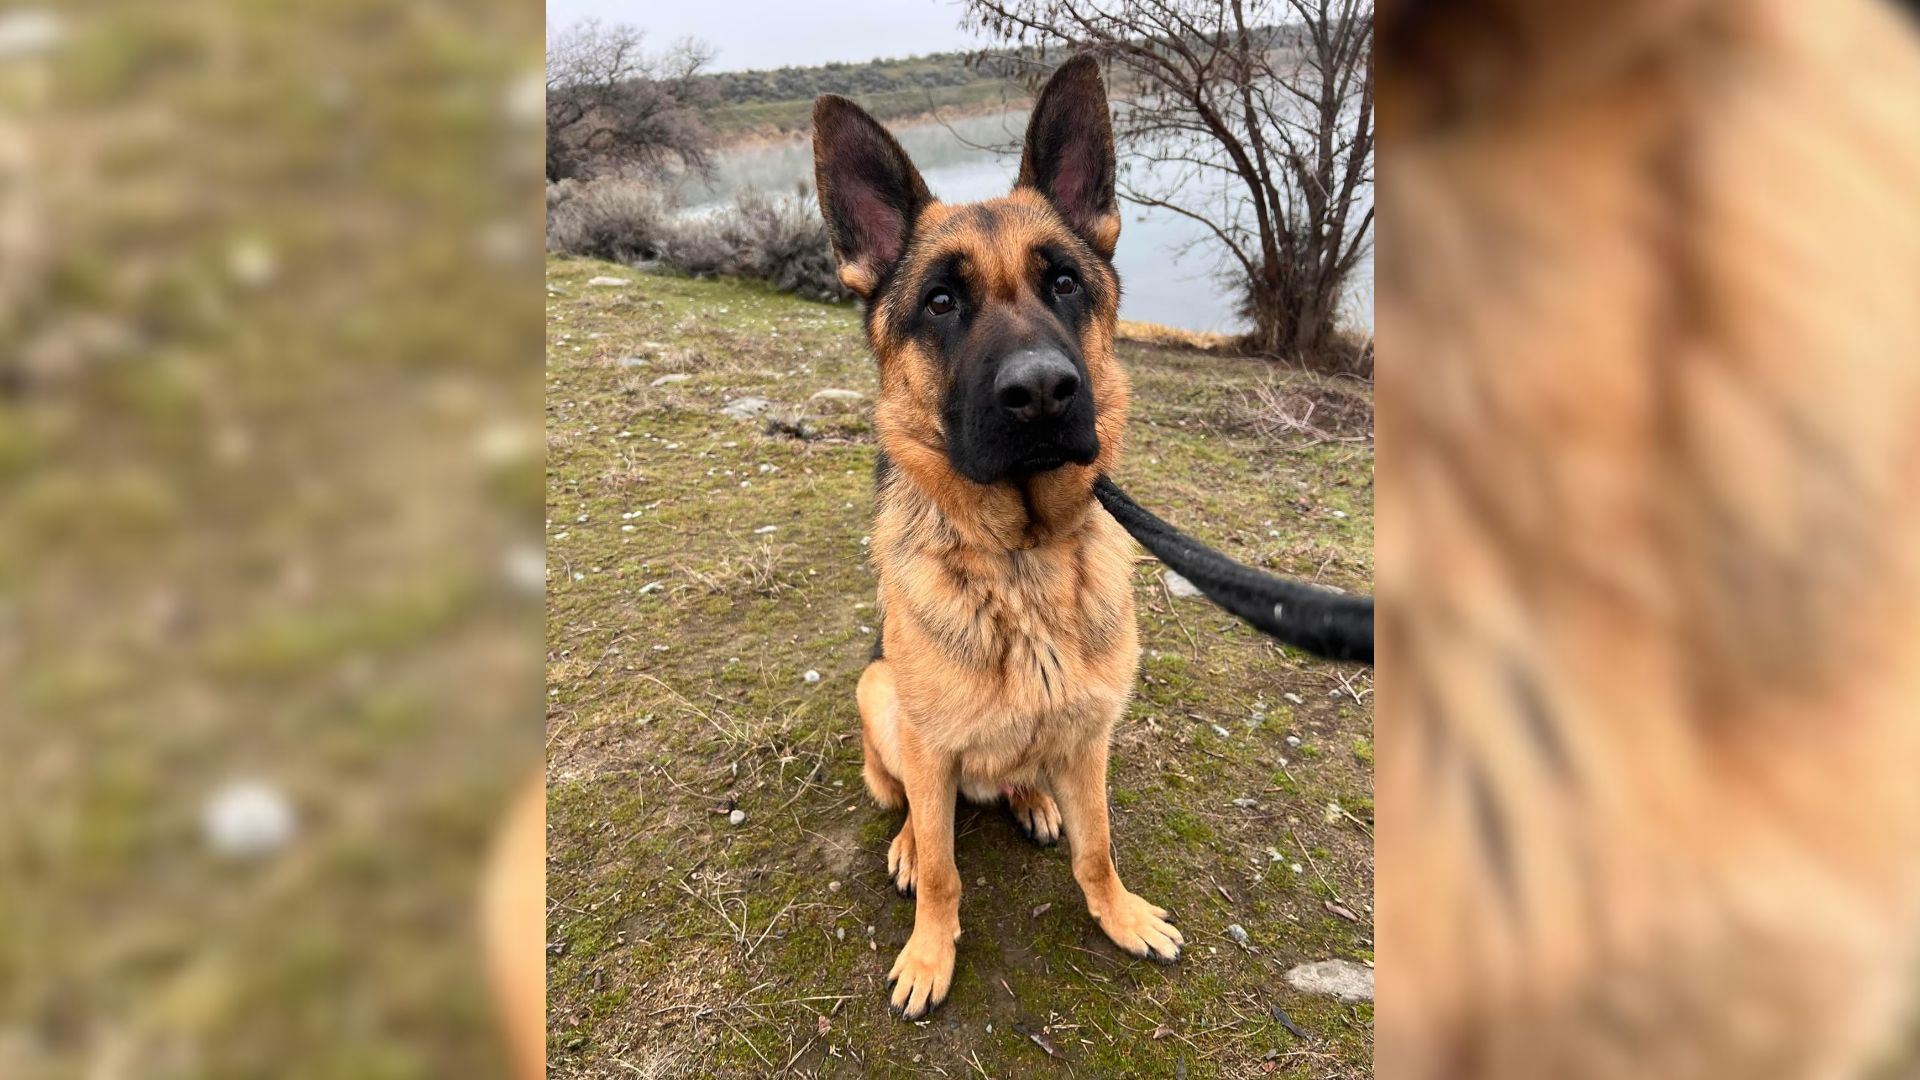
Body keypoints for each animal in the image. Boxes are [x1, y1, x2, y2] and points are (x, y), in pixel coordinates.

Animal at [802, 56, 1175, 1014]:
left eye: (1065, 283)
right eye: (940, 302)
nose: (1042, 392)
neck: (1022, 558)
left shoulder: (1089, 741)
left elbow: (1097, 846)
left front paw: (1117, 913)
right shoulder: (930, 749)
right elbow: (944, 871)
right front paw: (931, 953)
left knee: (1019, 784)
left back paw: (1033, 801)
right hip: (878, 693)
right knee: (910, 805)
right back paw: (907, 841)